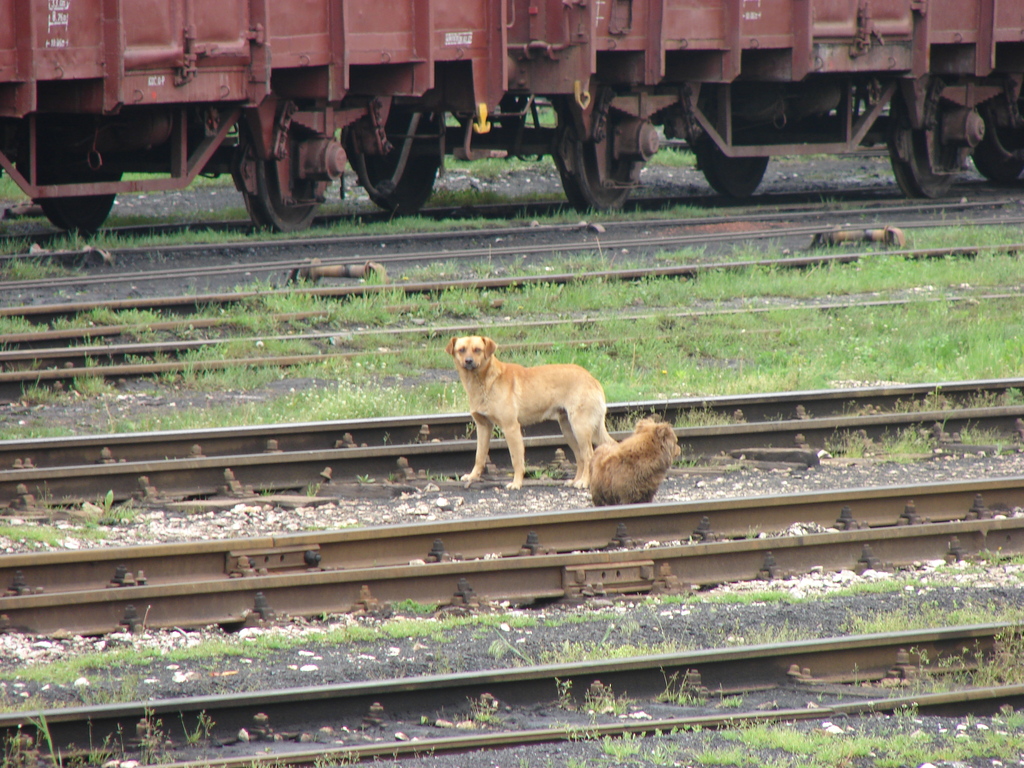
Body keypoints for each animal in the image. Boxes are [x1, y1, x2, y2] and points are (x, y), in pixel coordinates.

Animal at [444, 333, 610, 489]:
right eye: (461, 350)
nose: (468, 361)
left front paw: (516, 483)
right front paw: (472, 476)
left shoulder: (511, 427)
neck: (484, 381)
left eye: (477, 350)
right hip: (568, 430)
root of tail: (593, 379)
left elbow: (516, 460)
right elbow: (479, 456)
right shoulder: (483, 426)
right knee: (581, 457)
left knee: (589, 455)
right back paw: (575, 480)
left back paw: (584, 482)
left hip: (580, 428)